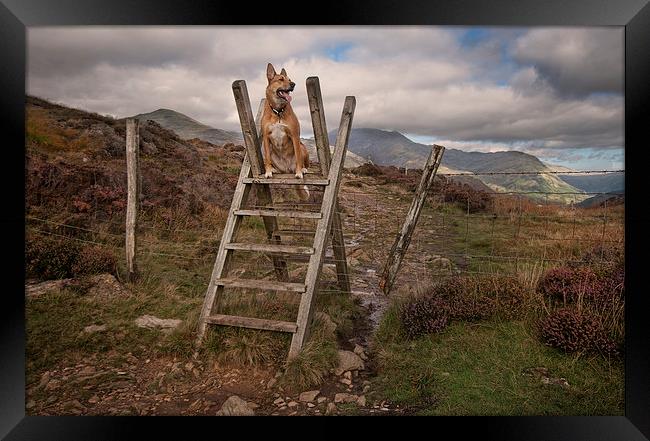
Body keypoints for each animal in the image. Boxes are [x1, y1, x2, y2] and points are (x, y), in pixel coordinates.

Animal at [260, 62, 310, 199]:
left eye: (290, 79)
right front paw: (268, 172)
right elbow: (267, 158)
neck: (278, 112)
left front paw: (299, 172)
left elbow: (298, 156)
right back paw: (275, 170)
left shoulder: (294, 136)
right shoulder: (266, 137)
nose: (293, 84)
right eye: (281, 79)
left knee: (302, 160)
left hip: (303, 147)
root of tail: (287, 169)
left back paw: (303, 169)